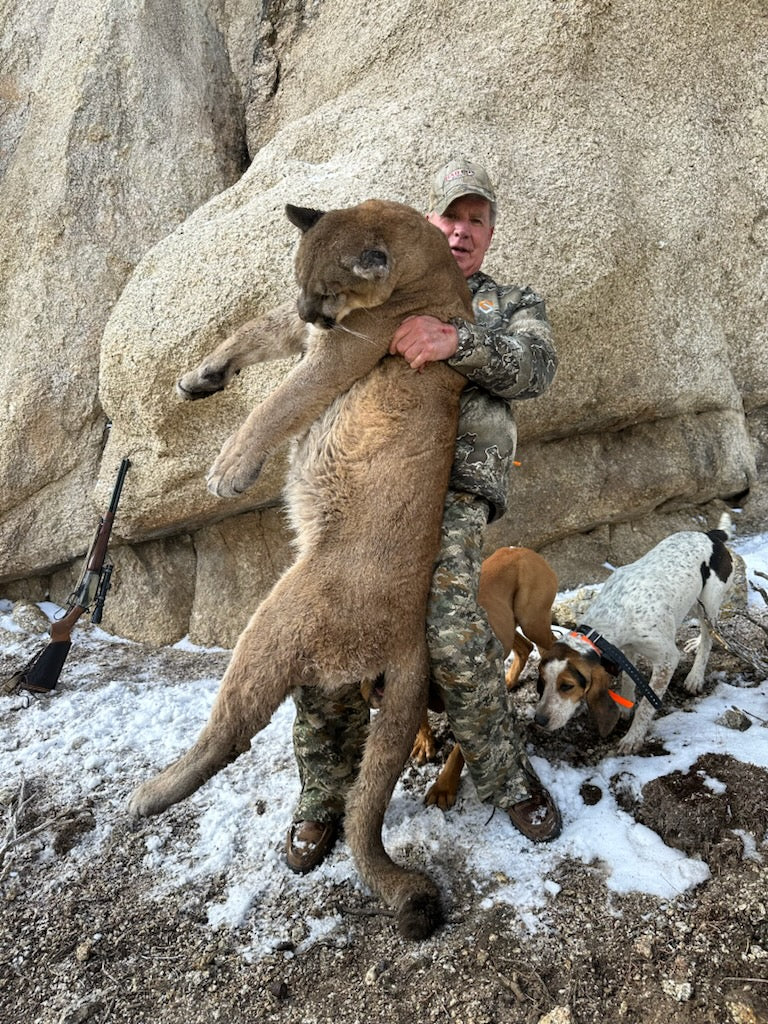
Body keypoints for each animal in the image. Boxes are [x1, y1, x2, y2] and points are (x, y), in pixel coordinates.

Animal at [128, 199, 472, 940]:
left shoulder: (342, 349)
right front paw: (199, 378)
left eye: (330, 289)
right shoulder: (309, 334)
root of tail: (414, 639)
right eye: (300, 281)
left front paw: (229, 469)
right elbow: (253, 328)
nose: (312, 311)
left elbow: (274, 404)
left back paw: (150, 792)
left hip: (278, 620)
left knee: (230, 731)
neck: (424, 255)